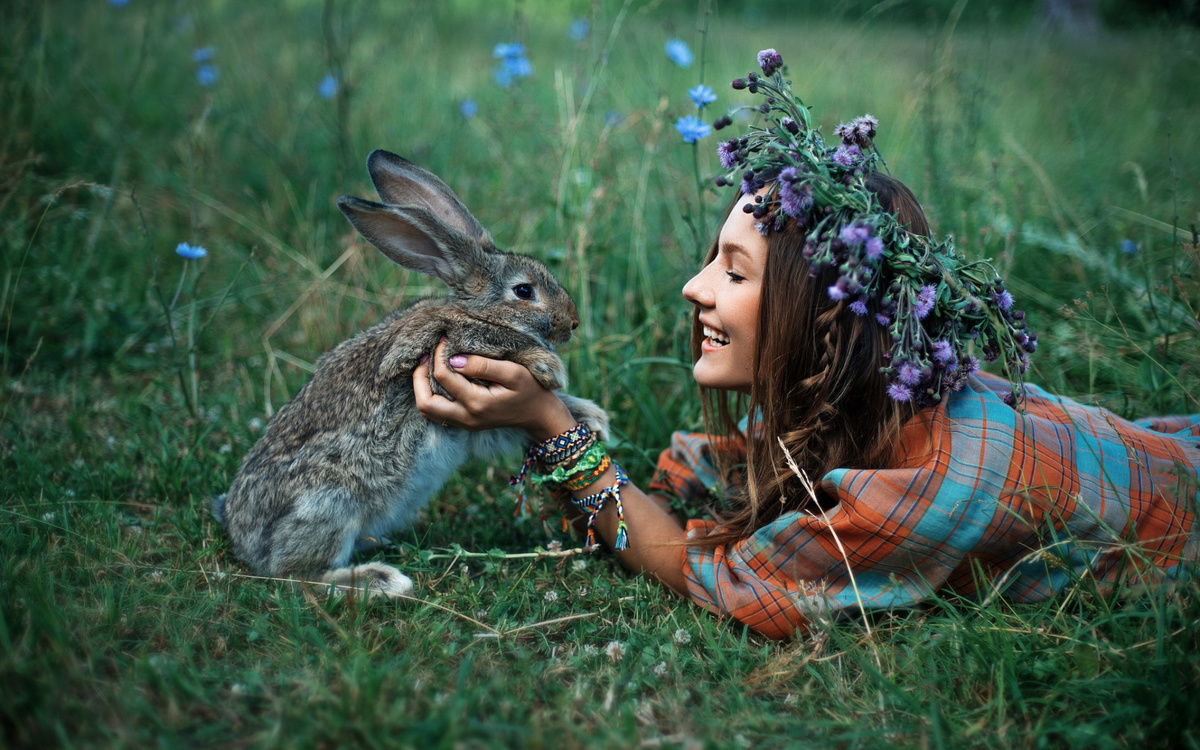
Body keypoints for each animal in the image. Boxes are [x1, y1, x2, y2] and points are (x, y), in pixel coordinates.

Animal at [211, 150, 609, 597]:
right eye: (524, 291)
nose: (572, 323)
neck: (475, 310)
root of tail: (243, 539)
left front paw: (591, 416)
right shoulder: (449, 351)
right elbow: (498, 342)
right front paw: (550, 366)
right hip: (329, 501)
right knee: (294, 575)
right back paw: (380, 579)